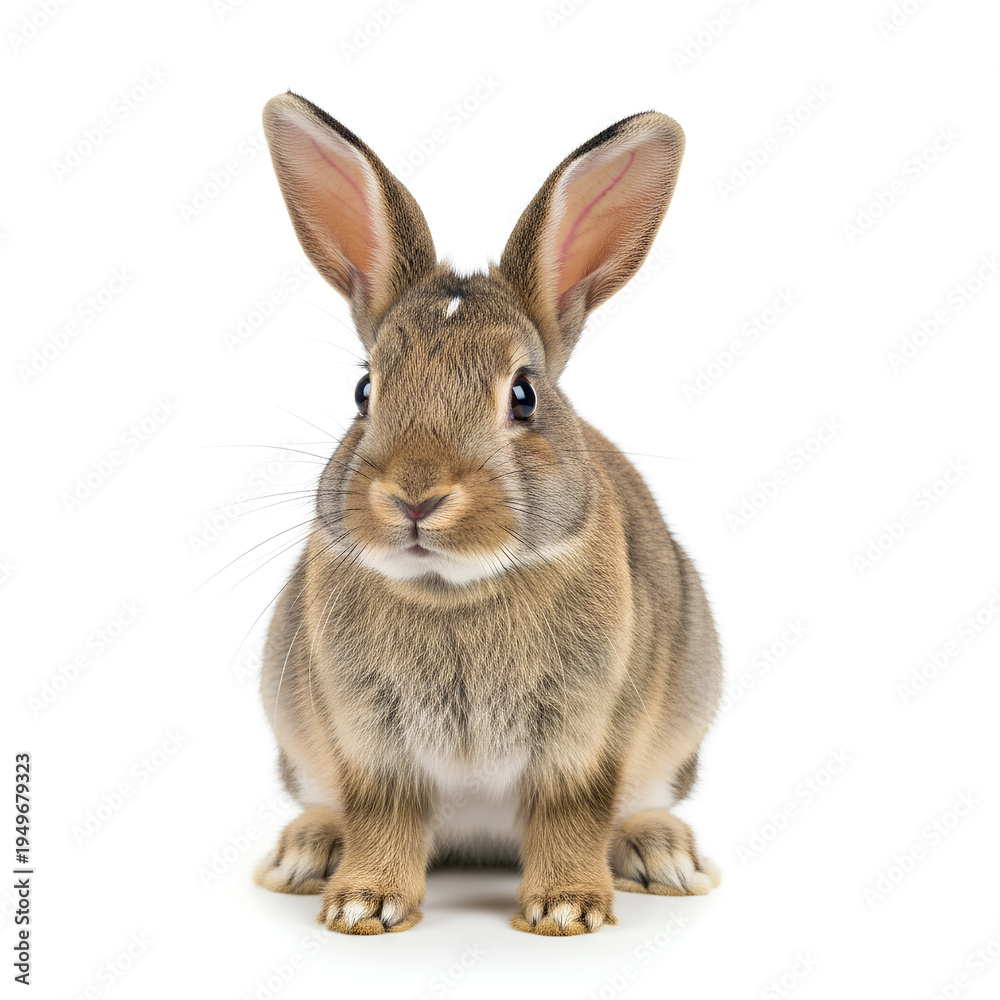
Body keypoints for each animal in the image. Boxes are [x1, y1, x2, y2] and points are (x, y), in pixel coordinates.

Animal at [252, 91, 723, 936]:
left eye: (523, 394)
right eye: (364, 391)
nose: (416, 495)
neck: (454, 589)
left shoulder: (583, 731)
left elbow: (574, 811)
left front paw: (566, 910)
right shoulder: (368, 736)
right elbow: (381, 811)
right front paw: (363, 905)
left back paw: (663, 856)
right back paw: (305, 853)